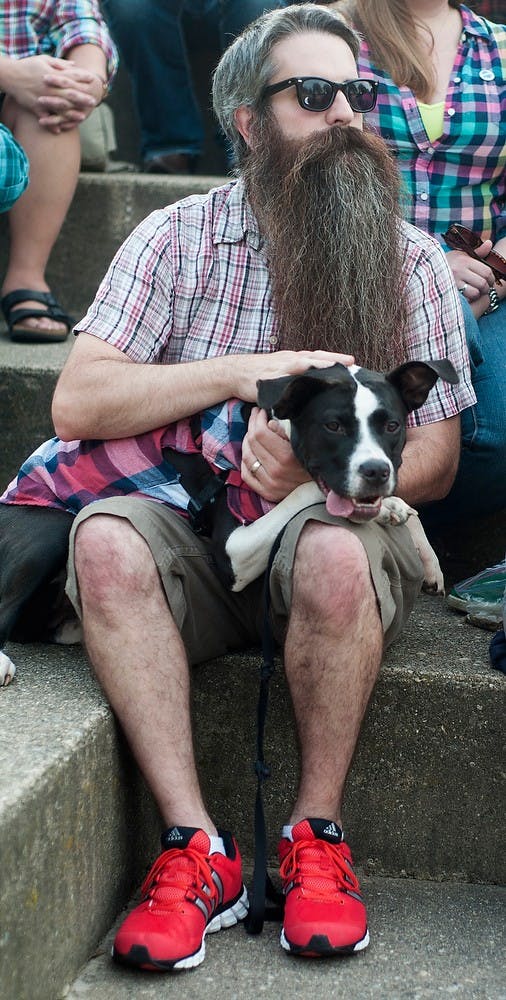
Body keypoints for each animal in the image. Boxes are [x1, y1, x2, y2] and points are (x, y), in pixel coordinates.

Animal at [0, 360, 456, 688]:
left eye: (392, 425)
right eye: (333, 425)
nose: (376, 471)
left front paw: (404, 522)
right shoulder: (233, 550)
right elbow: (305, 490)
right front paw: (383, 508)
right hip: (51, 529)